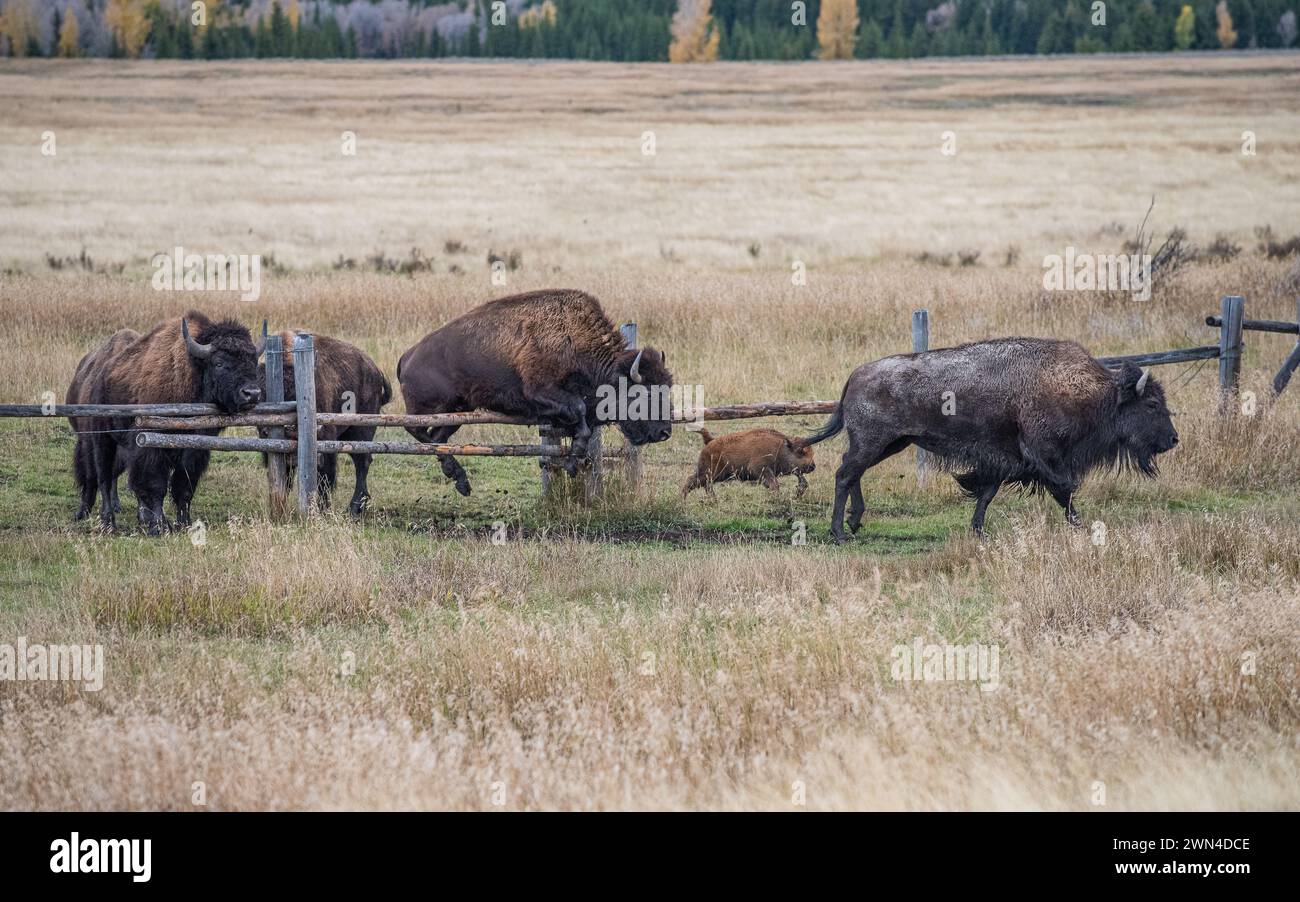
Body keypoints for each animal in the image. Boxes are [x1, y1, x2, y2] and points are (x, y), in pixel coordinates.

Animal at [85, 313, 263, 538]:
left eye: (253, 360)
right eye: (219, 363)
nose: (252, 393)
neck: (193, 373)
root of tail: (101, 373)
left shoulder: (193, 451)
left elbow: (184, 487)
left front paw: (184, 523)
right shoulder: (152, 447)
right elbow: (156, 486)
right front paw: (159, 527)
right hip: (103, 440)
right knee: (105, 479)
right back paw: (108, 523)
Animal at [258, 330, 390, 514]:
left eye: (297, 393)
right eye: (262, 394)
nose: (289, 431)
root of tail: (376, 372)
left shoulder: (325, 444)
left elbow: (325, 479)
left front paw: (322, 510)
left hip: (361, 431)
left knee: (362, 462)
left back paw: (354, 509)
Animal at [397, 289, 676, 499]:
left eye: (667, 389)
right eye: (645, 394)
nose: (664, 432)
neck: (575, 340)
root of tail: (407, 356)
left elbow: (581, 423)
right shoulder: (539, 392)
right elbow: (580, 414)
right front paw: (572, 465)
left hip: (459, 409)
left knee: (439, 437)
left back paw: (460, 480)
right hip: (432, 407)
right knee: (417, 429)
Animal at [681, 428, 811, 501]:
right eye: (800, 451)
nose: (812, 466)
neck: (781, 446)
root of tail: (710, 441)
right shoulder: (761, 469)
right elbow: (775, 485)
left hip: (715, 475)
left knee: (702, 484)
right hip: (710, 473)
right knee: (693, 481)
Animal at [800, 335, 1180, 540]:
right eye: (1151, 404)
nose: (1173, 439)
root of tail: (857, 373)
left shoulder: (1004, 460)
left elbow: (986, 493)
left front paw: (978, 531)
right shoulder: (1043, 456)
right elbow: (1065, 490)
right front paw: (1080, 525)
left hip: (891, 444)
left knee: (853, 474)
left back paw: (854, 523)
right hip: (873, 443)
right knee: (845, 475)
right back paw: (839, 533)